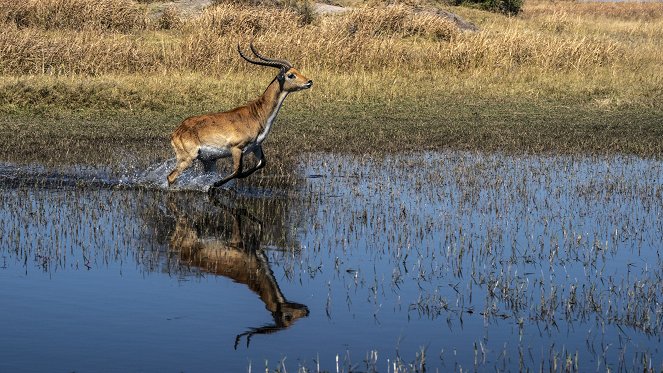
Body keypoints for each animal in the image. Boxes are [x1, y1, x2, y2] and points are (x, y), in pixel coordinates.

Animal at [165, 42, 312, 192]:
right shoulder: (236, 148)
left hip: (208, 160)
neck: (257, 114)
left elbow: (260, 164)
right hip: (189, 158)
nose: (309, 82)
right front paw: (213, 184)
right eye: (291, 75)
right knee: (171, 176)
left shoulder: (256, 146)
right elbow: (237, 171)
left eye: (297, 70)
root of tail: (176, 132)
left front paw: (212, 185)